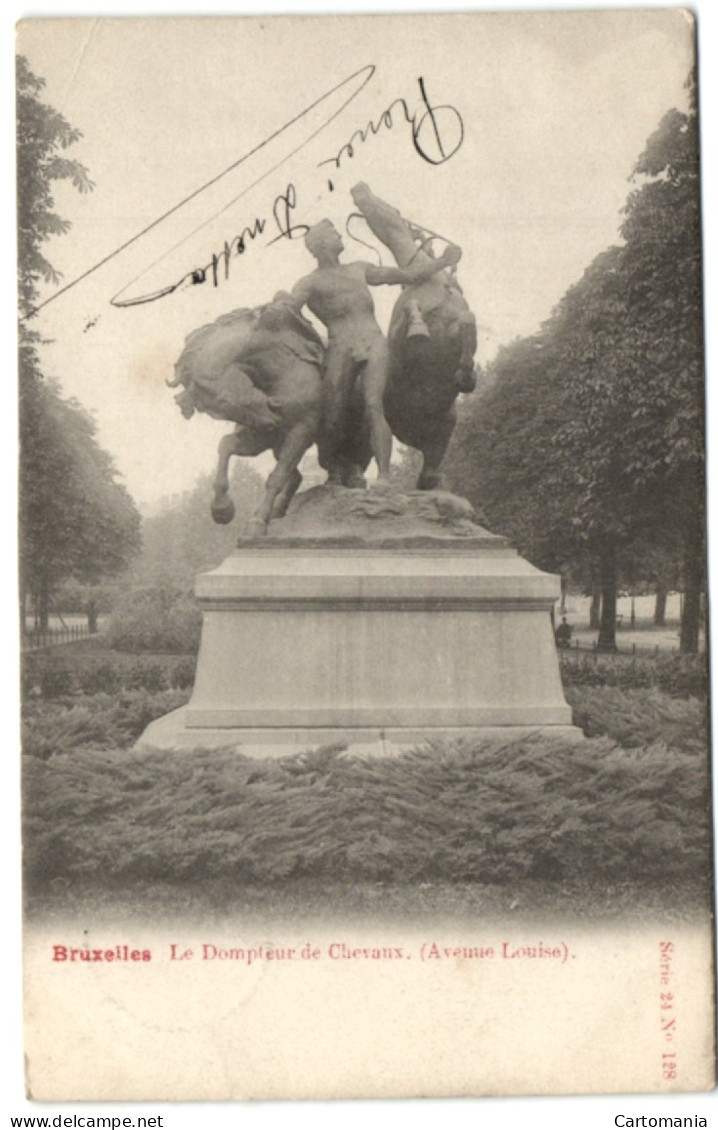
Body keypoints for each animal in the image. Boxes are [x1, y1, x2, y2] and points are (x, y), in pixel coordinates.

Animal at [352, 181, 479, 490]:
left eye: (389, 207)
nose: (359, 187)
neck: (430, 280)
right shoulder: (399, 344)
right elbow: (412, 311)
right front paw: (418, 328)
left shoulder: (452, 329)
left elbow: (468, 322)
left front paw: (466, 375)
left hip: (446, 425)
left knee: (429, 470)